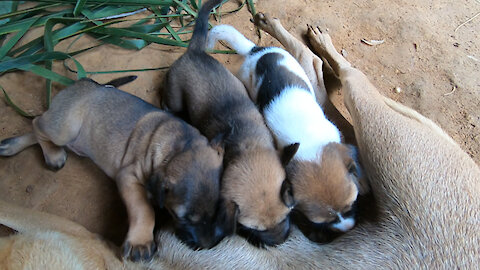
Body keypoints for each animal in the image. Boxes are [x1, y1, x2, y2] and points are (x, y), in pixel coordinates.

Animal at [0, 77, 225, 262]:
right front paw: (140, 241)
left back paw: (11, 145)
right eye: (182, 217)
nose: (206, 245)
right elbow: (144, 209)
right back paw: (52, 154)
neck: (181, 146)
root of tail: (85, 83)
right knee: (37, 123)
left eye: (220, 208)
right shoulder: (129, 177)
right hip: (66, 127)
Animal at [161, 0, 298, 247]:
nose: (280, 241)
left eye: (286, 215)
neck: (248, 148)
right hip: (174, 97)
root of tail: (195, 52)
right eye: (253, 229)